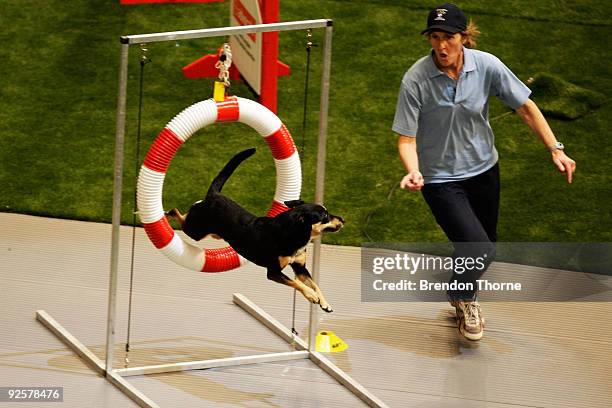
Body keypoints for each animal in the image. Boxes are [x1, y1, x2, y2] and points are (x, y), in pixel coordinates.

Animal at [165, 149, 342, 312]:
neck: (296, 234)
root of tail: (214, 195)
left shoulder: (300, 267)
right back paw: (167, 213)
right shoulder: (273, 272)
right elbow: (297, 283)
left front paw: (324, 303)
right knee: (178, 212)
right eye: (325, 216)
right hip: (195, 231)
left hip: (211, 233)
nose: (342, 219)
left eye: (327, 212)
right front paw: (311, 296)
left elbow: (315, 284)